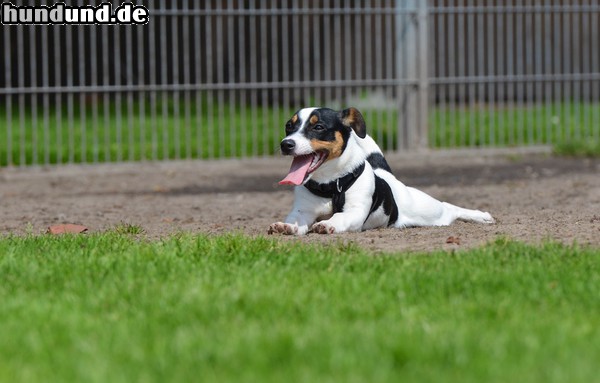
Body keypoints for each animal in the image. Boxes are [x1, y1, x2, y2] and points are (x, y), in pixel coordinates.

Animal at [270, 106, 494, 236]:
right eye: (288, 126)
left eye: (318, 127)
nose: (286, 144)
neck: (331, 184)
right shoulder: (303, 211)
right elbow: (296, 221)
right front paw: (286, 226)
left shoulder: (355, 212)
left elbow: (339, 217)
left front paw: (327, 224)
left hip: (428, 210)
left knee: (449, 208)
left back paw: (481, 215)